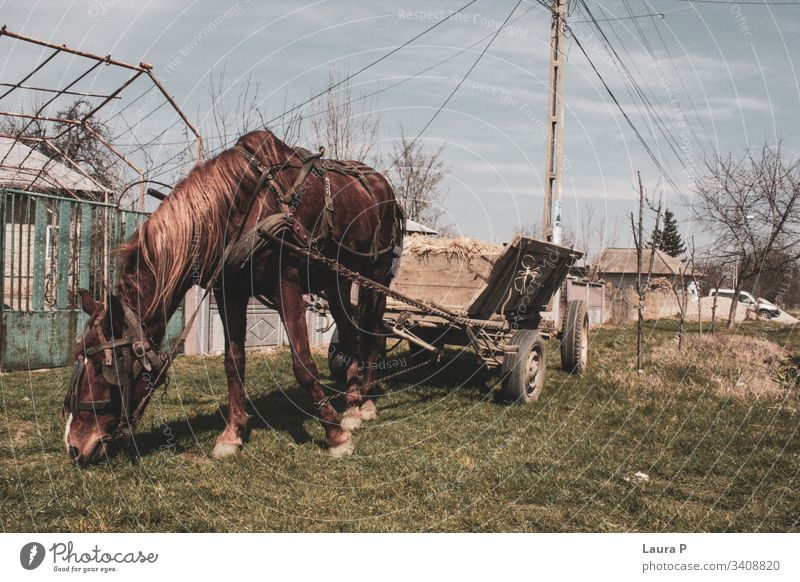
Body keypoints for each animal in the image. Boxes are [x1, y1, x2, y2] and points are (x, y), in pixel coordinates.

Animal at [62, 130, 404, 468]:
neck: (244, 208)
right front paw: (232, 433)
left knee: (373, 335)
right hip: (337, 280)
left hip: (376, 275)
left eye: (103, 368)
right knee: (349, 333)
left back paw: (366, 403)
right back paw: (352, 403)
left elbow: (303, 364)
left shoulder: (287, 283)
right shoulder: (229, 292)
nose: (74, 446)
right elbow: (233, 362)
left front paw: (334, 435)